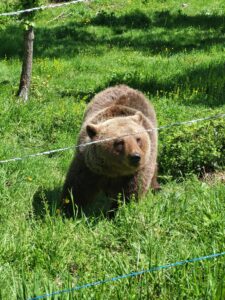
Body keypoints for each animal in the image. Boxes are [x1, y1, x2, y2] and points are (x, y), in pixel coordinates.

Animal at [60, 84, 159, 216]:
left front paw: (117, 211)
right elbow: (77, 187)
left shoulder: (138, 169)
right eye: (119, 142)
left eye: (138, 139)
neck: (114, 171)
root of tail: (123, 86)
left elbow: (132, 190)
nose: (135, 156)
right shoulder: (89, 166)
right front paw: (67, 209)